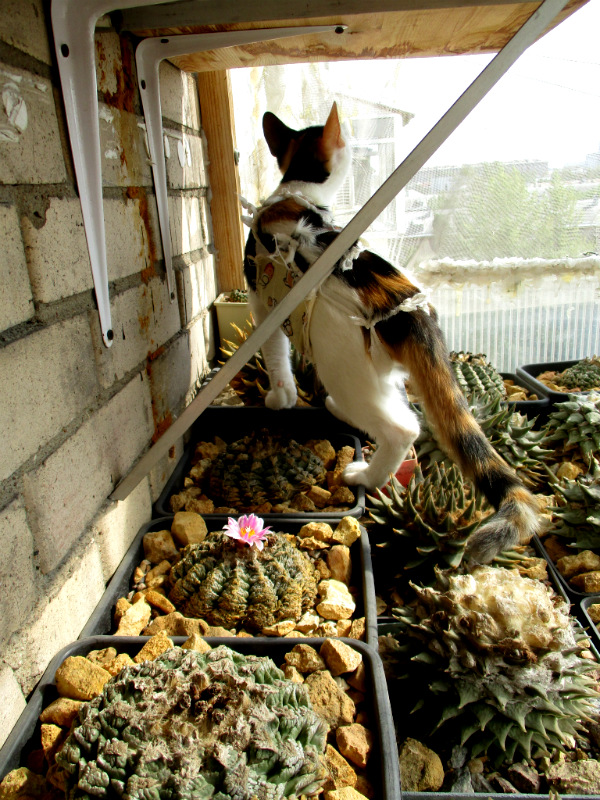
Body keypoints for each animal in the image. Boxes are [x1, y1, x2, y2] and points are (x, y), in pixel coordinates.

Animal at [242, 102, 540, 564]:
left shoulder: (263, 307)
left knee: (404, 427)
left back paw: (364, 473)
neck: (298, 192)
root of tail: (408, 311)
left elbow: (275, 358)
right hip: (378, 371)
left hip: (341, 365)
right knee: (397, 409)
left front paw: (280, 397)